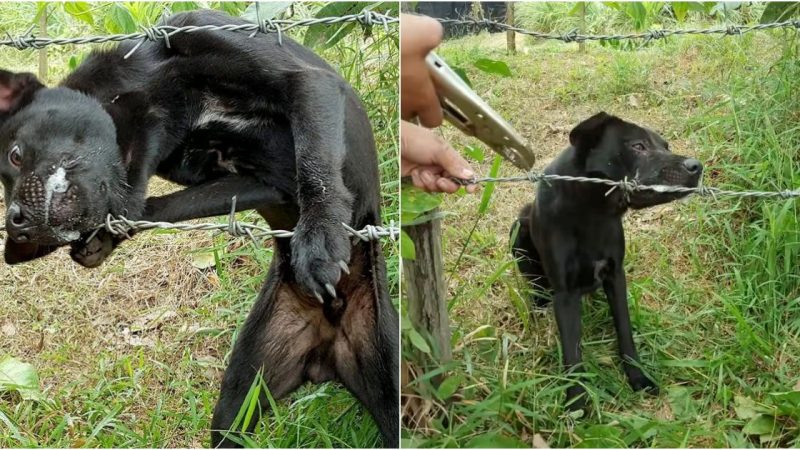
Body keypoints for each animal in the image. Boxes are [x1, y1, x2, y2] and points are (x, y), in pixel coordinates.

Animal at [0, 8, 398, 448]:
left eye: (14, 155)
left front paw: (321, 238)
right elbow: (161, 206)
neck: (159, 94)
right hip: (239, 398)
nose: (15, 224)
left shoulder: (303, 81)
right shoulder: (252, 181)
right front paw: (104, 237)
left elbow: (316, 165)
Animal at [512, 113, 700, 412]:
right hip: (519, 230)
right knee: (536, 283)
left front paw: (638, 378)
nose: (697, 166)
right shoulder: (565, 294)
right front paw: (576, 404)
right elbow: (572, 353)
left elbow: (624, 331)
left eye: (665, 146)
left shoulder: (615, 276)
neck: (592, 212)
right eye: (638, 146)